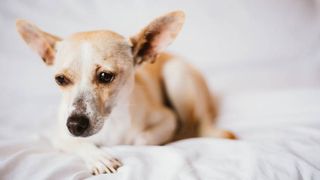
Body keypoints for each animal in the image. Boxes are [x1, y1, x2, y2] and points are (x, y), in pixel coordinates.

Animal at [15, 10, 235, 174]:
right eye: (60, 79)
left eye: (105, 76)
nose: (75, 125)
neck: (111, 123)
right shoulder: (58, 135)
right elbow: (78, 143)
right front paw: (98, 157)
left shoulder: (168, 118)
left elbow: (140, 139)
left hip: (176, 75)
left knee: (191, 126)